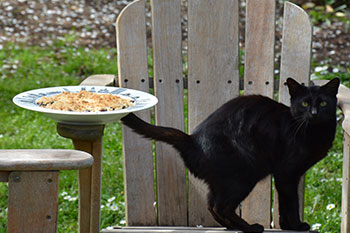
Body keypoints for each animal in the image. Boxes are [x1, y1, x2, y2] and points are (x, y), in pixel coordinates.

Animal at [120, 78, 340, 231]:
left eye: (323, 104)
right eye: (304, 104)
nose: (314, 113)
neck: (311, 130)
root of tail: (193, 140)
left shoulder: (285, 177)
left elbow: (283, 204)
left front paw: (286, 226)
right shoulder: (286, 174)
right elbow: (290, 203)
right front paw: (296, 226)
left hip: (220, 182)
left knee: (212, 204)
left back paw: (231, 226)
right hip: (244, 175)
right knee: (222, 207)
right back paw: (249, 228)